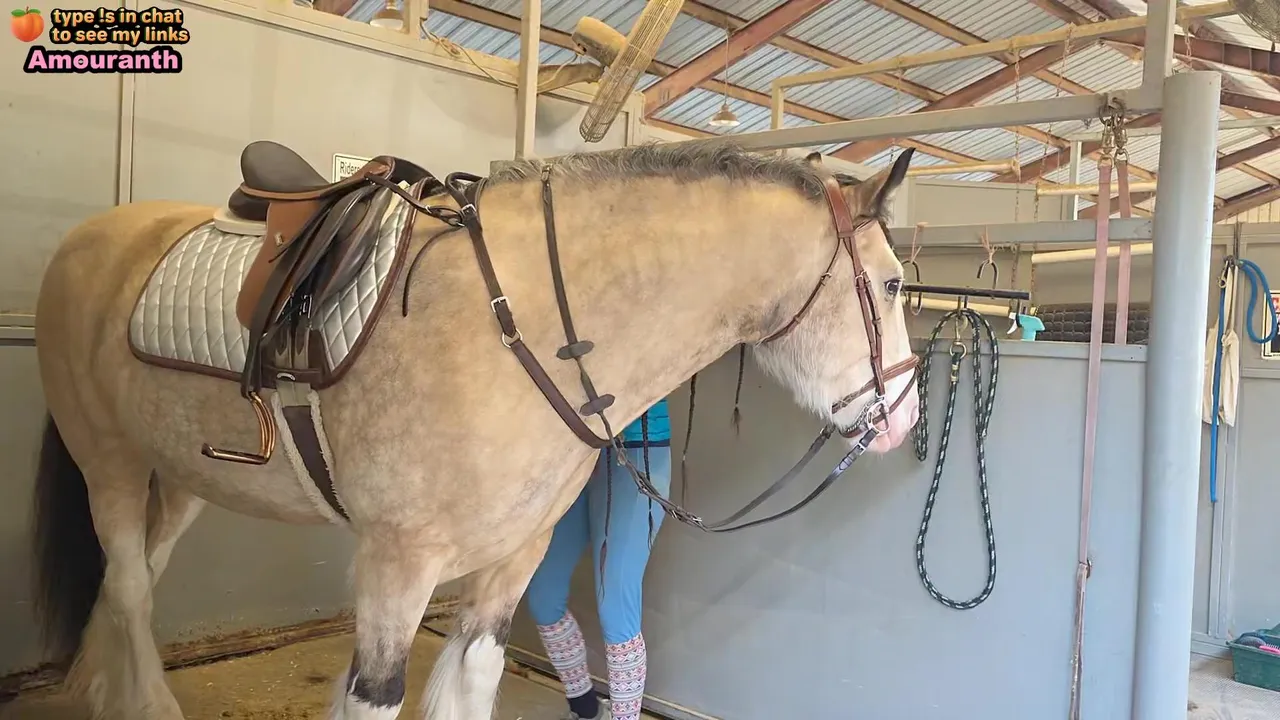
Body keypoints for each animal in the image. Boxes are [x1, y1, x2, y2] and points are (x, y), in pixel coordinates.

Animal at [28, 139, 920, 720]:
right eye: (890, 282)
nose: (905, 419)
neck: (521, 326)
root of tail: (87, 240)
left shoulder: (512, 561)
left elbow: (472, 678)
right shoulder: (396, 567)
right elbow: (377, 696)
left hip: (181, 472)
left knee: (135, 578)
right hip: (106, 459)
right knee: (130, 582)